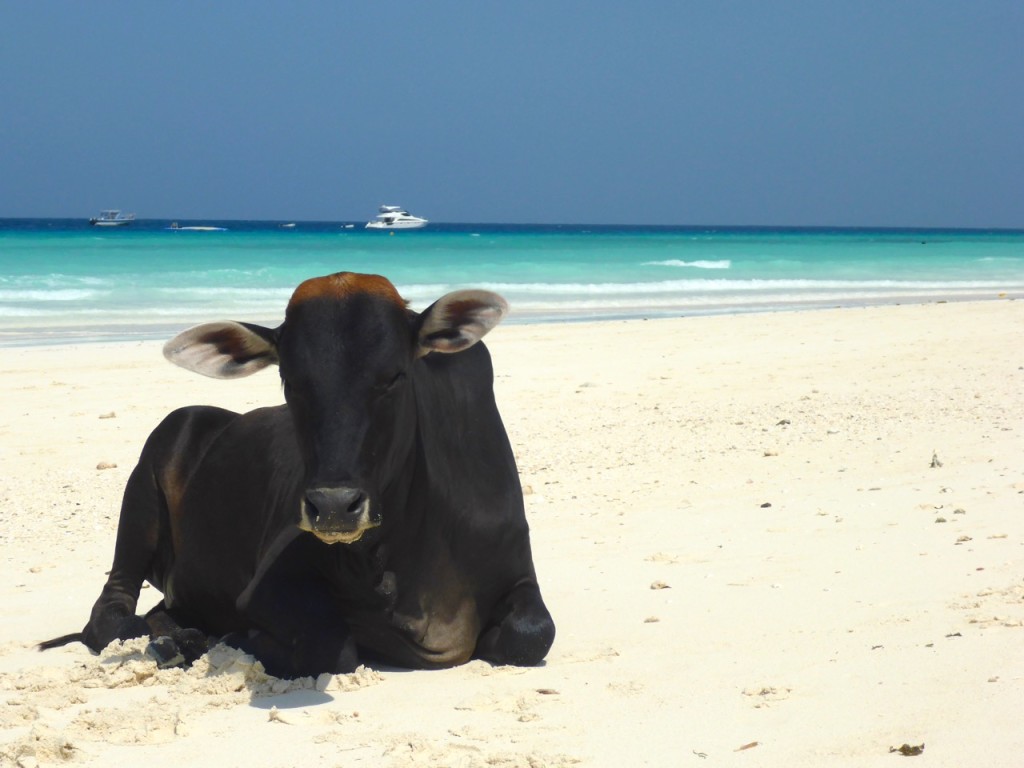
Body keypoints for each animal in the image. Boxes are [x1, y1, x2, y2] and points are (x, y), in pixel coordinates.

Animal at [39, 272, 557, 679]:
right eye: (290, 379)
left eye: (395, 376)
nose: (333, 506)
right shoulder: (267, 585)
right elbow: (331, 645)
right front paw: (234, 637)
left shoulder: (519, 569)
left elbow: (532, 633)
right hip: (153, 468)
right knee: (114, 615)